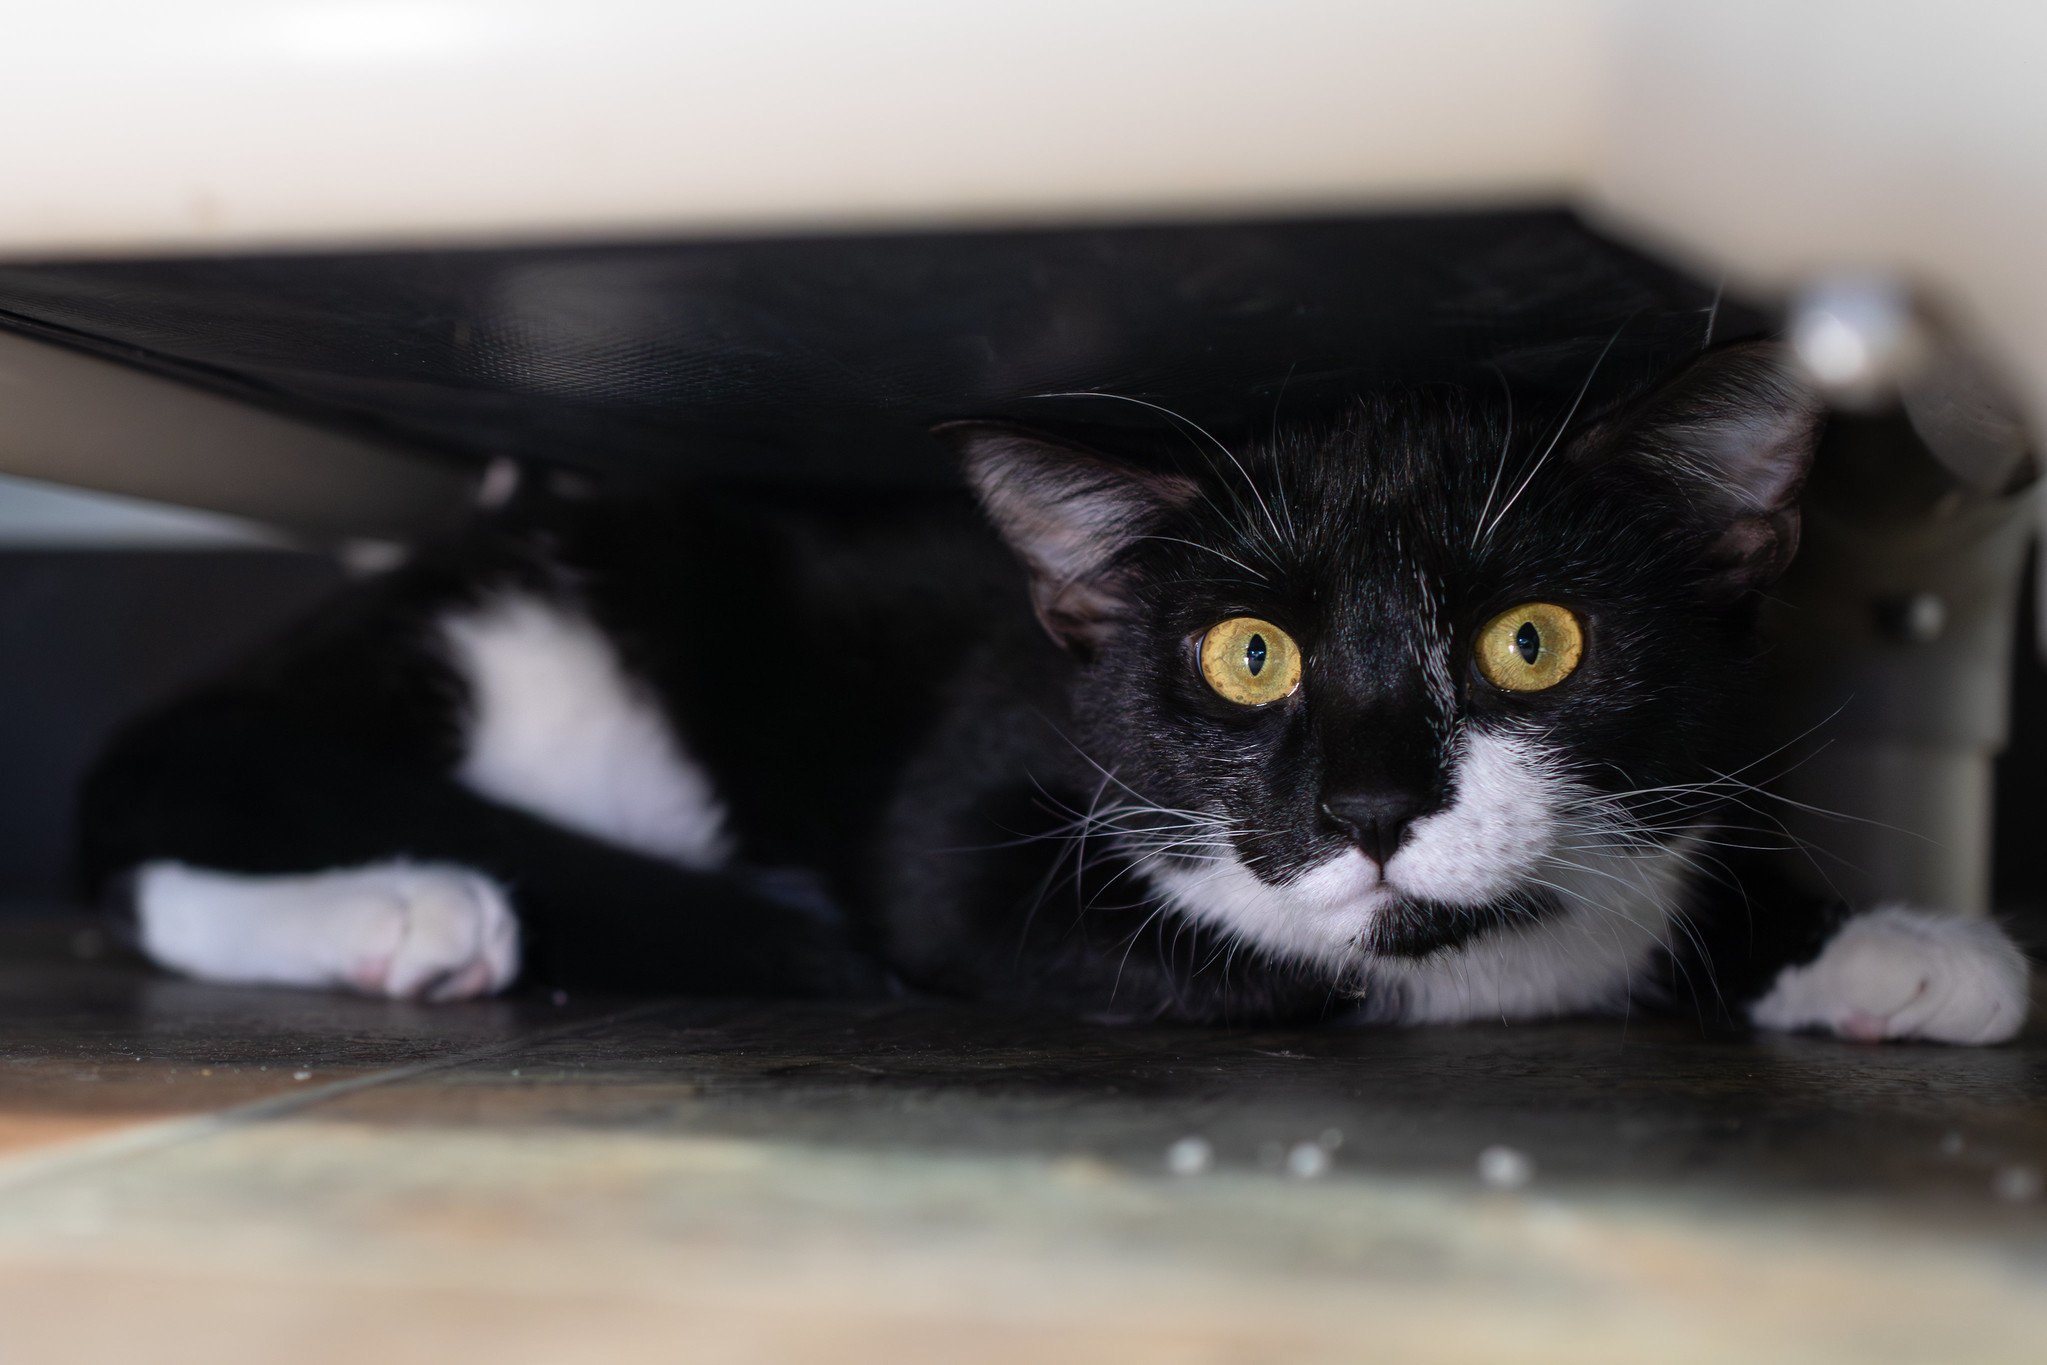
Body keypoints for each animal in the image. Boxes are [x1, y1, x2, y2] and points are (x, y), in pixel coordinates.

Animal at [77, 341, 2031, 1042]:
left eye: (1530, 642)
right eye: (1244, 657)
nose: (1366, 808)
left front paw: (1890, 942)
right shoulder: (965, 803)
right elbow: (1262, 967)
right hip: (547, 677)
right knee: (160, 842)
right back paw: (399, 914)